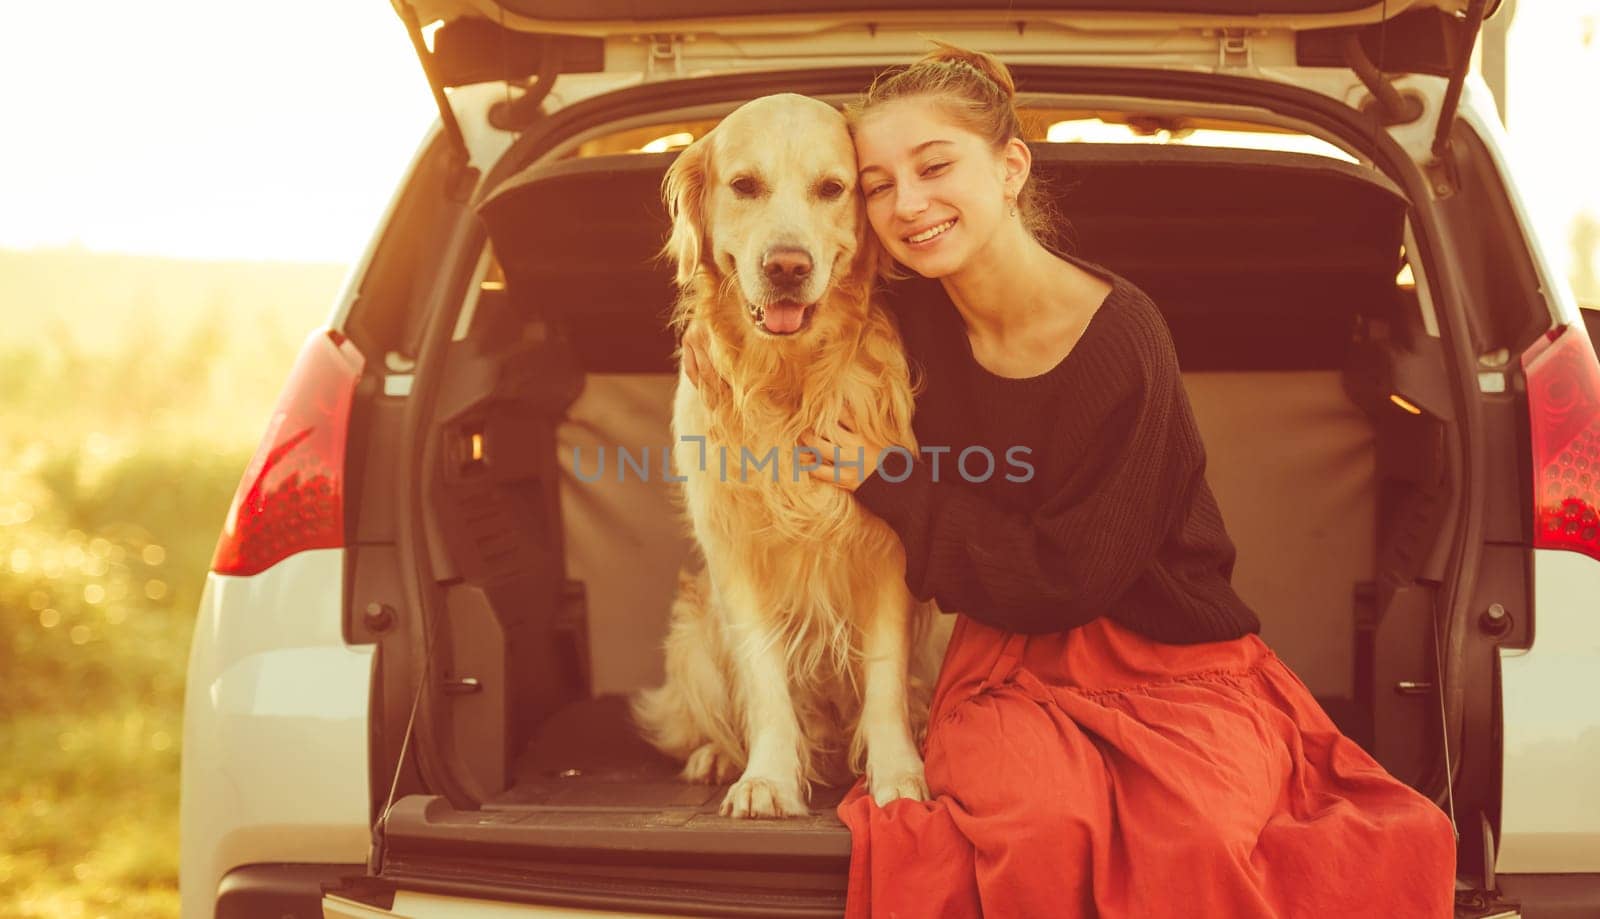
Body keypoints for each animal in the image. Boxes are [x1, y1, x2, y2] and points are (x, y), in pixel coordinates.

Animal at [630, 95, 940, 819]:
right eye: (745, 185)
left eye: (832, 188)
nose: (788, 267)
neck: (789, 377)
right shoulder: (735, 555)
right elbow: (765, 679)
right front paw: (767, 779)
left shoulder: (888, 552)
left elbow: (885, 676)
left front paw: (898, 774)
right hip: (693, 634)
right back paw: (717, 756)